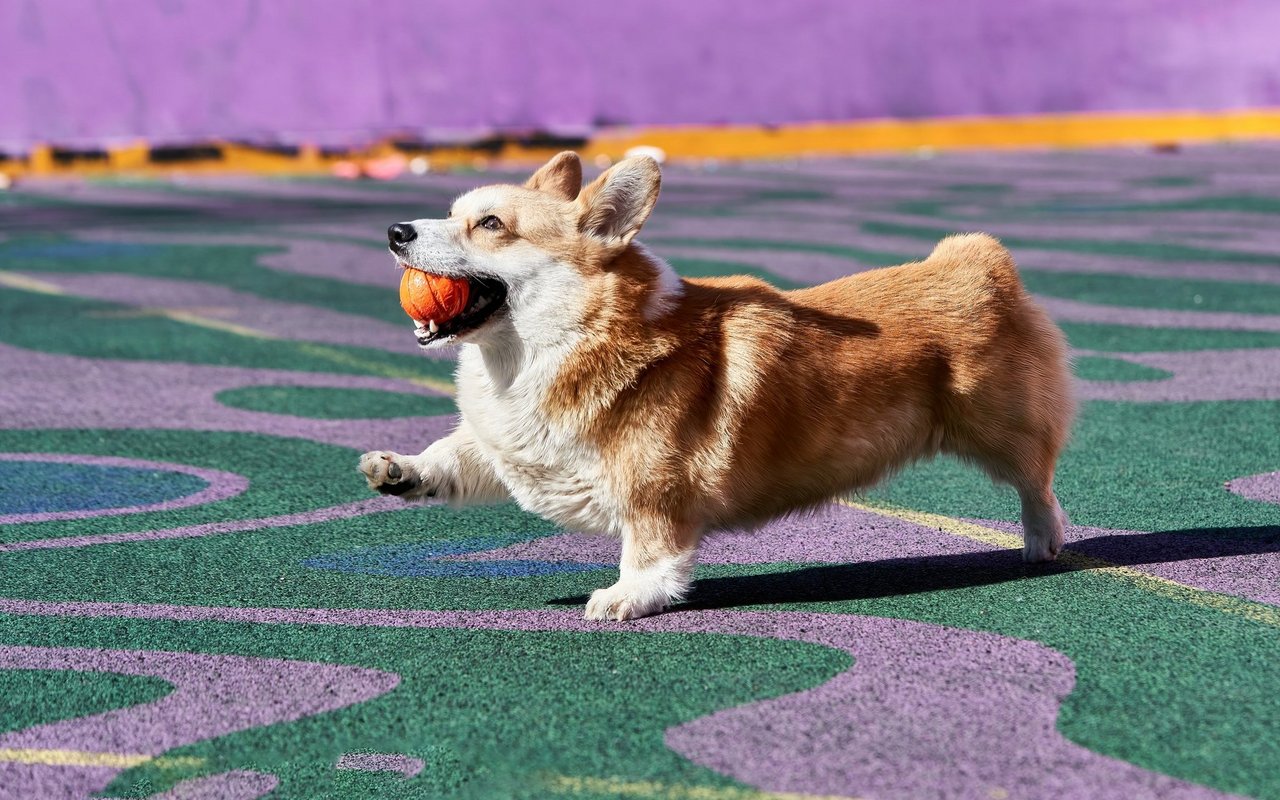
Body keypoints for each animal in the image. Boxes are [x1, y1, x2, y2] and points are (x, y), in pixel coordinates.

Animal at [366, 152, 1075, 622]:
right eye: (452, 214)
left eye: (490, 225)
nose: (396, 232)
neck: (556, 343)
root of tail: (980, 263)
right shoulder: (511, 445)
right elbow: (453, 454)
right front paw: (399, 469)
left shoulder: (654, 490)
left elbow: (650, 551)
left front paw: (627, 598)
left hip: (1000, 429)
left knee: (1038, 484)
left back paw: (1042, 543)